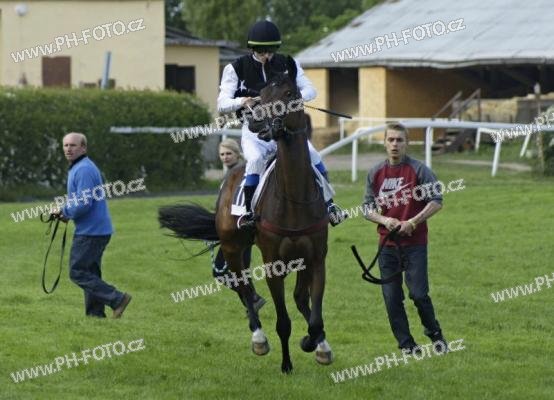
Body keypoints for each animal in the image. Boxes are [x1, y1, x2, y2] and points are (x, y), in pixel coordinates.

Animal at [158, 69, 333, 373]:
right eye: (260, 96)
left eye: (289, 94)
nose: (257, 122)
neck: (294, 197)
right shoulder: (273, 264)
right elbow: (283, 321)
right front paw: (286, 363)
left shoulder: (315, 258)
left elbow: (315, 317)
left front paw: (316, 343)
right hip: (232, 248)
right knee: (242, 286)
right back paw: (258, 337)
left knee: (297, 298)